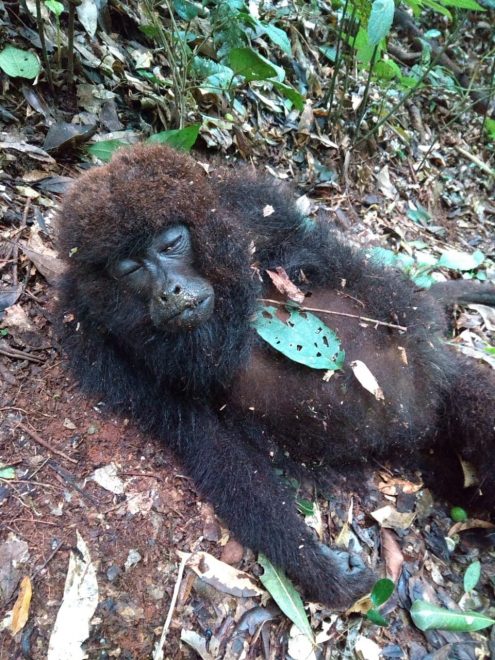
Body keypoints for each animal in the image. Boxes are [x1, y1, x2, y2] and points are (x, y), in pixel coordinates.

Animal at [57, 146, 495, 608]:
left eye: (171, 244)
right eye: (130, 270)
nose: (169, 291)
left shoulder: (255, 204)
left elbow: (363, 282)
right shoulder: (92, 339)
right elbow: (205, 439)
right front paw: (318, 567)